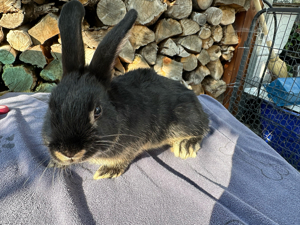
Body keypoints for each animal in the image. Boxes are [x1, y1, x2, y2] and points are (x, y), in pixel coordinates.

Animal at [42, 0, 210, 179]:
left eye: (97, 110)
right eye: (51, 106)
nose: (68, 152)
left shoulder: (132, 145)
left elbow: (122, 158)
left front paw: (107, 171)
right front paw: (55, 163)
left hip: (186, 120)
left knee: (202, 128)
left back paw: (186, 146)